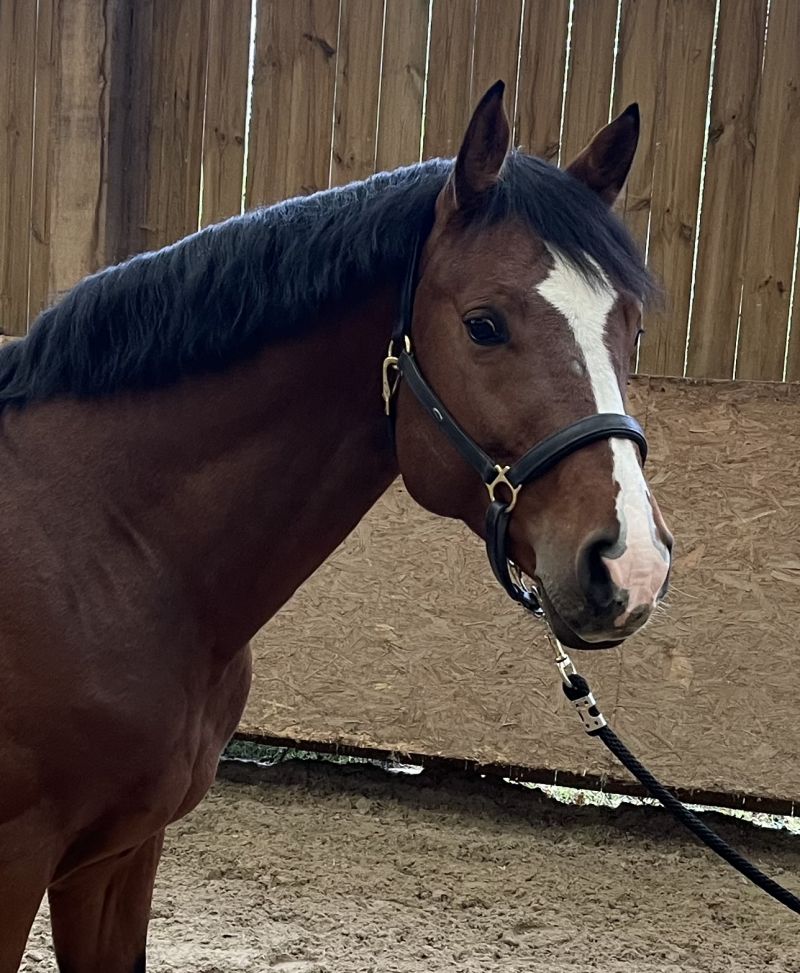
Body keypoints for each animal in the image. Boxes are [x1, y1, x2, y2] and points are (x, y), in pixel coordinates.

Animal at [0, 81, 672, 971]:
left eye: (630, 324)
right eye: (484, 324)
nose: (631, 566)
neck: (98, 544)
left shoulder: (117, 858)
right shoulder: (15, 864)